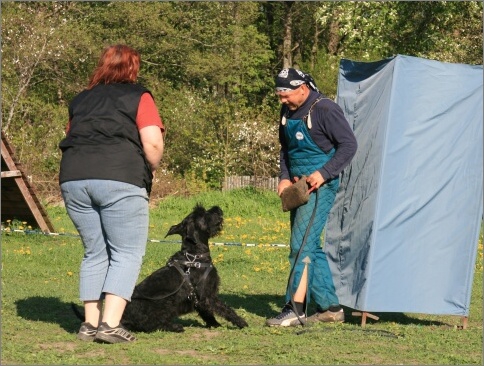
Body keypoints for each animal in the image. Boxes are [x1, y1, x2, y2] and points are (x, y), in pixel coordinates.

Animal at [119, 204, 248, 334]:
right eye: (202, 213)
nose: (217, 208)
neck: (195, 256)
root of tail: (123, 318)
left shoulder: (200, 299)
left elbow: (207, 313)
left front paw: (214, 324)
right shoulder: (207, 295)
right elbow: (225, 309)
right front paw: (241, 322)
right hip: (165, 301)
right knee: (152, 324)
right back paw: (176, 327)